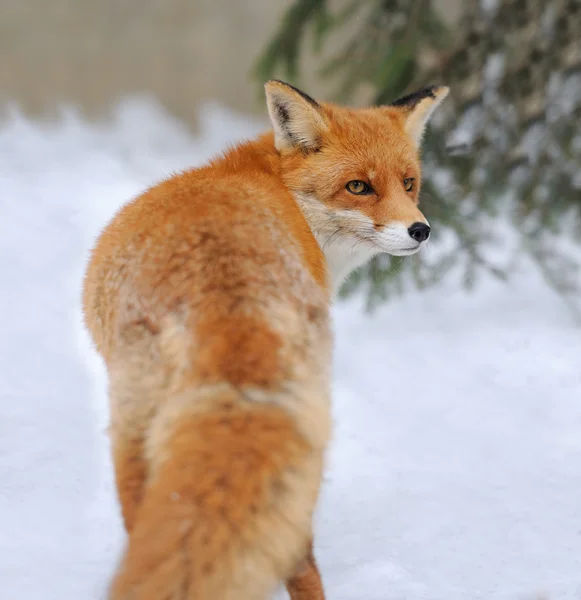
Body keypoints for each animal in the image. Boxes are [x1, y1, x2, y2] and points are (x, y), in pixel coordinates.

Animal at [81, 81, 446, 600]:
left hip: (137, 434)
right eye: (359, 186)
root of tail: (226, 298)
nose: (421, 230)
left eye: (409, 183)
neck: (279, 188)